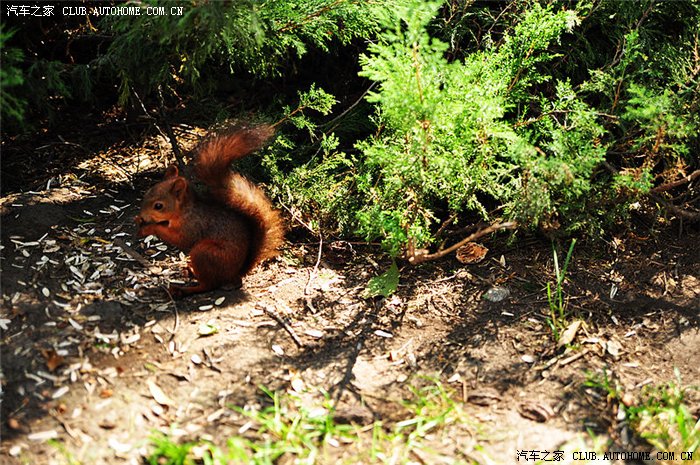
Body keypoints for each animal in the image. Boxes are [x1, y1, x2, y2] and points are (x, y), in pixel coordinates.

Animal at [134, 124, 282, 298]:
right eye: (146, 193)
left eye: (158, 206)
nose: (142, 215)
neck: (185, 211)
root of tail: (235, 273)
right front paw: (138, 220)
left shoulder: (192, 227)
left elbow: (180, 240)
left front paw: (149, 228)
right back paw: (189, 271)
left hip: (204, 253)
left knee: (208, 285)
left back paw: (184, 289)